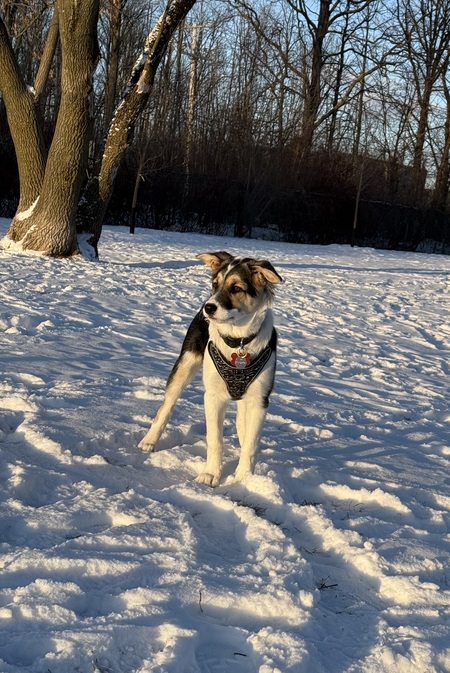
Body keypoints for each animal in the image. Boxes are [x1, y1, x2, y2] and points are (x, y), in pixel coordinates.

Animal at [139, 249, 284, 486]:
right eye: (215, 284)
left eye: (236, 288)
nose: (209, 307)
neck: (239, 341)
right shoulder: (213, 396)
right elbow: (214, 439)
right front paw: (210, 474)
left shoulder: (259, 398)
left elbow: (251, 443)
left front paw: (244, 478)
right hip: (185, 364)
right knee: (166, 407)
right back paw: (149, 441)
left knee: (242, 425)